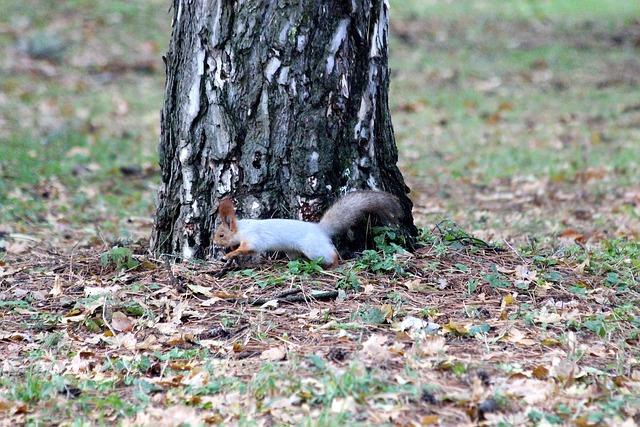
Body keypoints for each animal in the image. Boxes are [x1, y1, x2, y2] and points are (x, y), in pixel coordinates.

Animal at [218, 191, 402, 268]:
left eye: (221, 234)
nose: (214, 242)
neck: (242, 228)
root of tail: (320, 229)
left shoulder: (253, 238)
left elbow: (249, 248)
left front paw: (229, 254)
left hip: (314, 248)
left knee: (332, 254)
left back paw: (333, 265)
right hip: (293, 251)